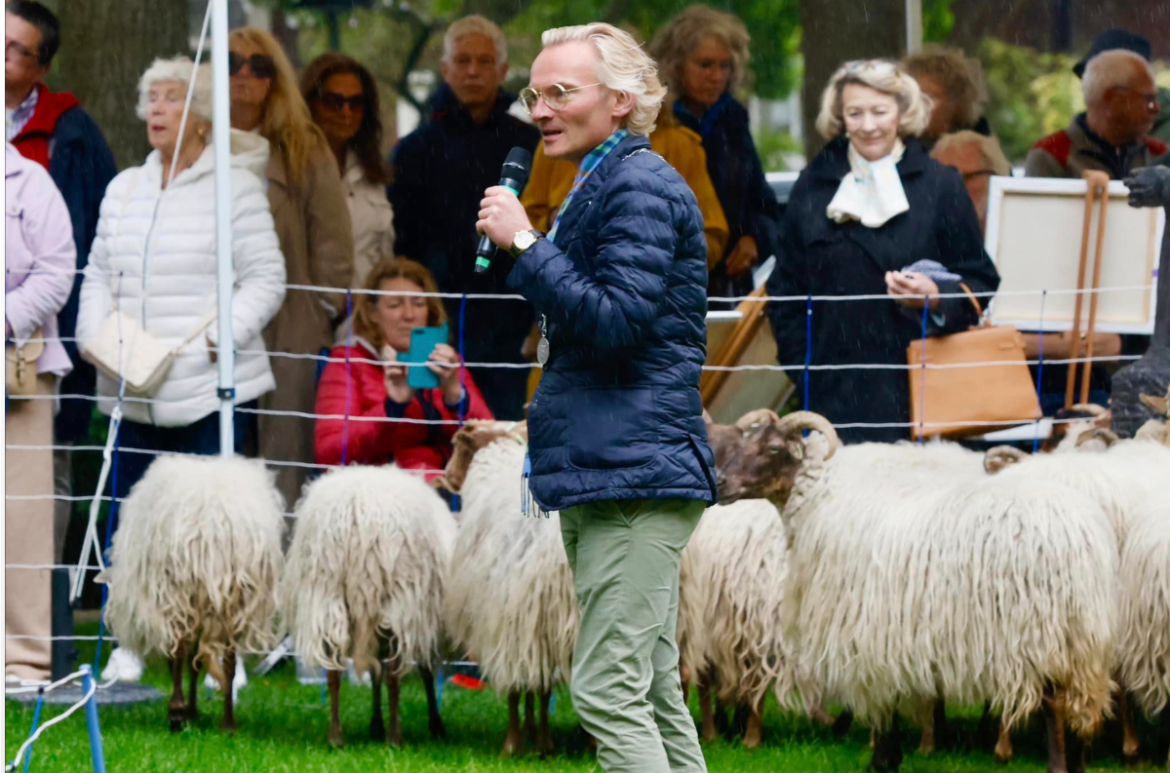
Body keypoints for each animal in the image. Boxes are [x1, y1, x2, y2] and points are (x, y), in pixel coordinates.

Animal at [101, 456, 283, 734]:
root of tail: (213, 521)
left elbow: (182, 658)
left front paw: (188, 710)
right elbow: (196, 663)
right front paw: (195, 710)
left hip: (177, 589)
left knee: (179, 649)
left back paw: (177, 712)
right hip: (235, 598)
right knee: (228, 661)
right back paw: (228, 723)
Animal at [280, 460, 453, 743]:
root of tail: (357, 510)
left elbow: (375, 673)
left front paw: (375, 725)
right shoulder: (421, 621)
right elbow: (422, 672)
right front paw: (435, 725)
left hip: (327, 597)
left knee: (334, 672)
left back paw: (336, 736)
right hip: (396, 600)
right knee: (393, 672)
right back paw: (394, 737)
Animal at [439, 420, 577, 753]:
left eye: (457, 444)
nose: (445, 476)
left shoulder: (509, 620)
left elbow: (519, 688)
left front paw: (516, 744)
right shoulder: (532, 623)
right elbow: (538, 688)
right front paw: (538, 737)